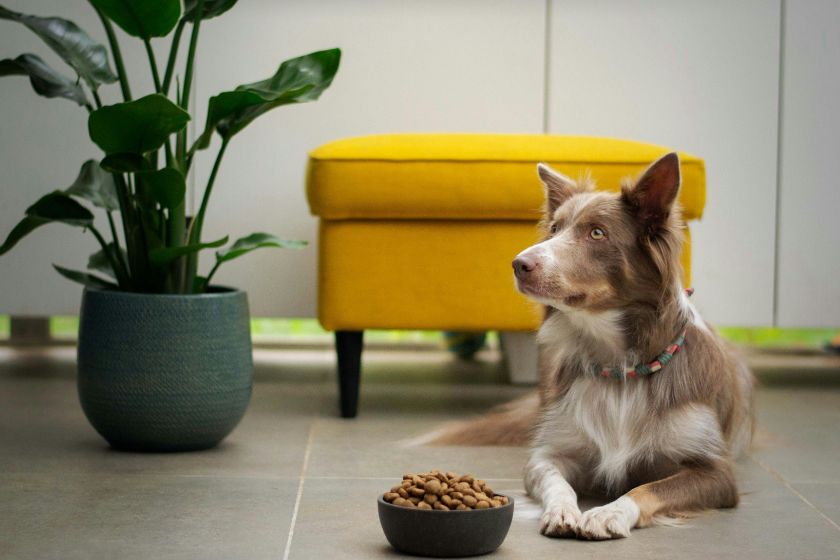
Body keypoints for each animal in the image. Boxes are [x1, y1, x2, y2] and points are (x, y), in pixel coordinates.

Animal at [426, 152, 756, 540]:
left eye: (597, 233)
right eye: (554, 229)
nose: (518, 264)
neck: (620, 366)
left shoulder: (717, 472)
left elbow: (646, 488)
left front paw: (608, 513)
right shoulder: (549, 452)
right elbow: (555, 481)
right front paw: (563, 510)